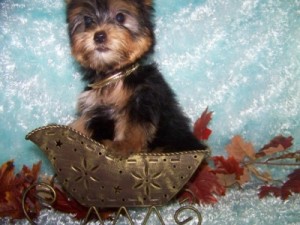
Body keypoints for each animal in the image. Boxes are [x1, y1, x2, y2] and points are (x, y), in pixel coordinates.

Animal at [66, 0, 206, 157]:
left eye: (120, 17)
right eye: (88, 20)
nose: (99, 36)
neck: (114, 74)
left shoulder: (143, 98)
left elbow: (134, 126)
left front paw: (123, 145)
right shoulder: (93, 106)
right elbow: (83, 122)